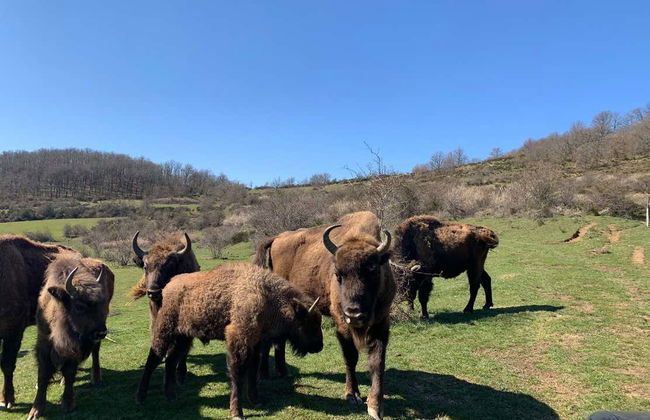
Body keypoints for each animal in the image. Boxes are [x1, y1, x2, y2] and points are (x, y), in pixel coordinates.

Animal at [27, 255, 114, 419]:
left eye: (102, 304)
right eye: (79, 306)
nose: (101, 333)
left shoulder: (74, 349)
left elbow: (69, 372)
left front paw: (67, 404)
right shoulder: (44, 343)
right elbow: (43, 374)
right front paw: (35, 411)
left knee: (96, 352)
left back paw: (96, 378)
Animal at [135, 262, 323, 420]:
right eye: (309, 323)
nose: (319, 346)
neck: (266, 295)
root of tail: (168, 286)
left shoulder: (254, 343)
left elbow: (252, 372)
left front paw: (255, 400)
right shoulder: (238, 339)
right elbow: (237, 374)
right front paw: (237, 412)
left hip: (183, 338)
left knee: (170, 361)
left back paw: (171, 396)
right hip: (164, 332)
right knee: (153, 359)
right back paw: (141, 397)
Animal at [255, 211, 395, 420]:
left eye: (373, 270)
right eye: (338, 274)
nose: (354, 313)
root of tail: (277, 238)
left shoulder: (381, 324)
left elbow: (377, 362)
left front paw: (375, 406)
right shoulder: (342, 325)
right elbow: (350, 358)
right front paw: (352, 395)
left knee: (279, 340)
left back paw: (283, 371)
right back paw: (264, 374)